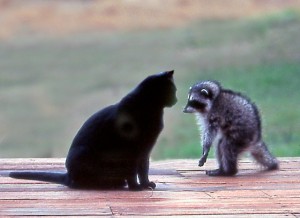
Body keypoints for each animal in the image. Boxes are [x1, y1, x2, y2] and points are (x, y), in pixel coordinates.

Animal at [10, 70, 177, 190]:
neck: (151, 110)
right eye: (173, 91)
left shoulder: (145, 151)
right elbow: (133, 171)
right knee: (75, 183)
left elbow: (143, 170)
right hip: (84, 152)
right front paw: (136, 187)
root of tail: (67, 175)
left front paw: (146, 184)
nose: (176, 99)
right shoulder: (131, 150)